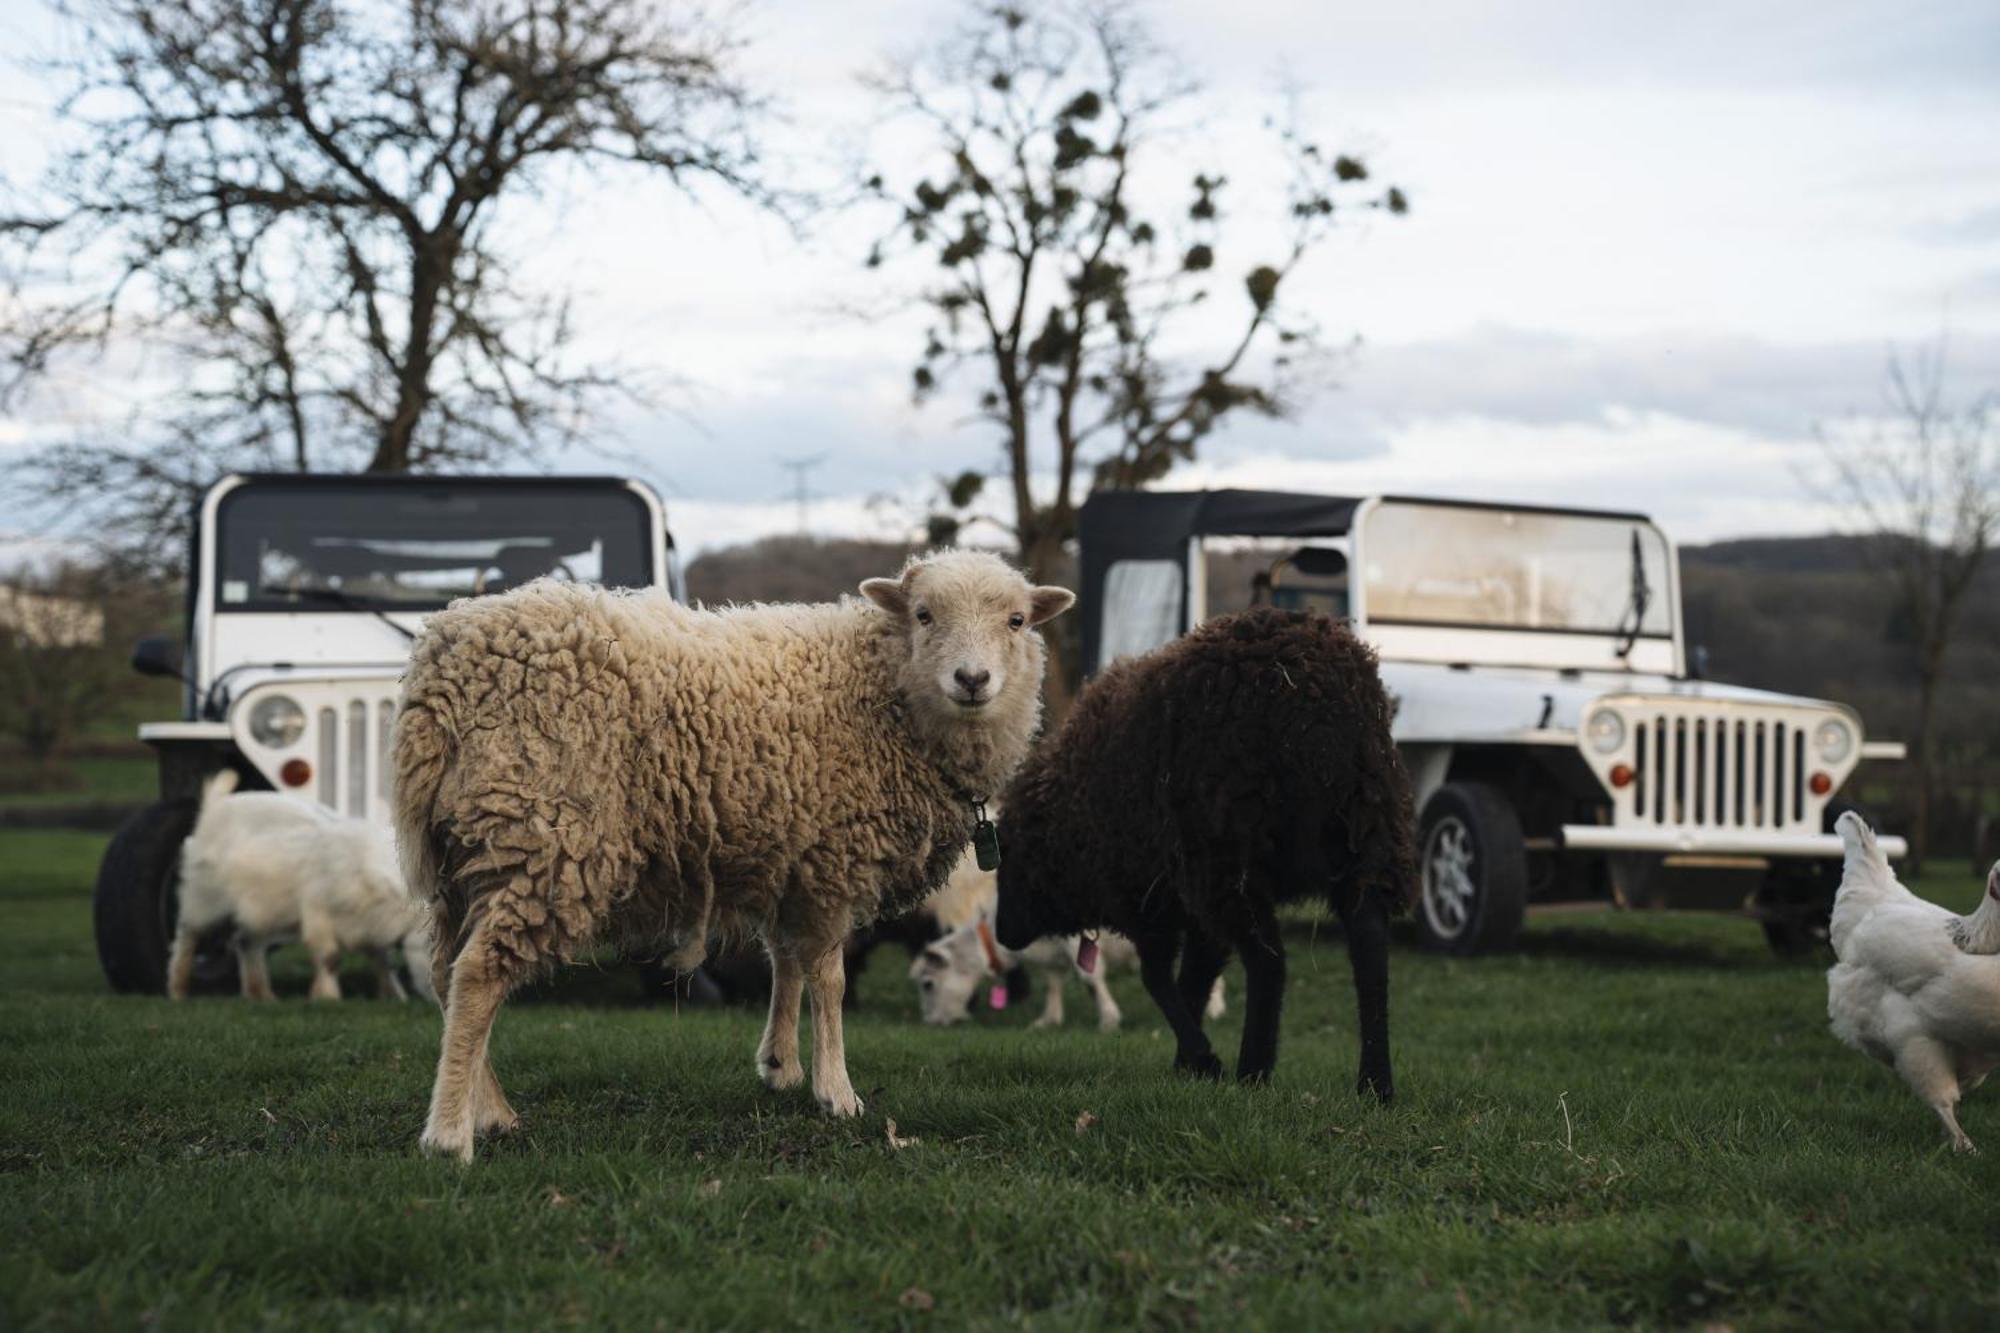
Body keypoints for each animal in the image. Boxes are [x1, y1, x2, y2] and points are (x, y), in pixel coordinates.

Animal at [169, 764, 434, 1000]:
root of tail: (214, 807)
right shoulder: (318, 911)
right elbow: (330, 957)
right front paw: (327, 997)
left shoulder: (369, 924)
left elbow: (382, 960)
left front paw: (393, 995)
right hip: (203, 897)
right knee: (187, 936)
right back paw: (178, 989)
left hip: (259, 913)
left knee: (246, 942)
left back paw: (261, 995)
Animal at [992, 604, 1416, 1088]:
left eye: (1010, 864)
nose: (1003, 933)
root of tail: (1320, 708)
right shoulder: (1188, 905)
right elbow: (1195, 977)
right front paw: (1188, 1066)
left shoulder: (1146, 901)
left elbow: (1158, 979)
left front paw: (1202, 1058)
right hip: (1366, 833)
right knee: (1370, 947)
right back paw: (1374, 1082)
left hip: (1229, 858)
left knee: (1269, 961)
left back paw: (1254, 1069)